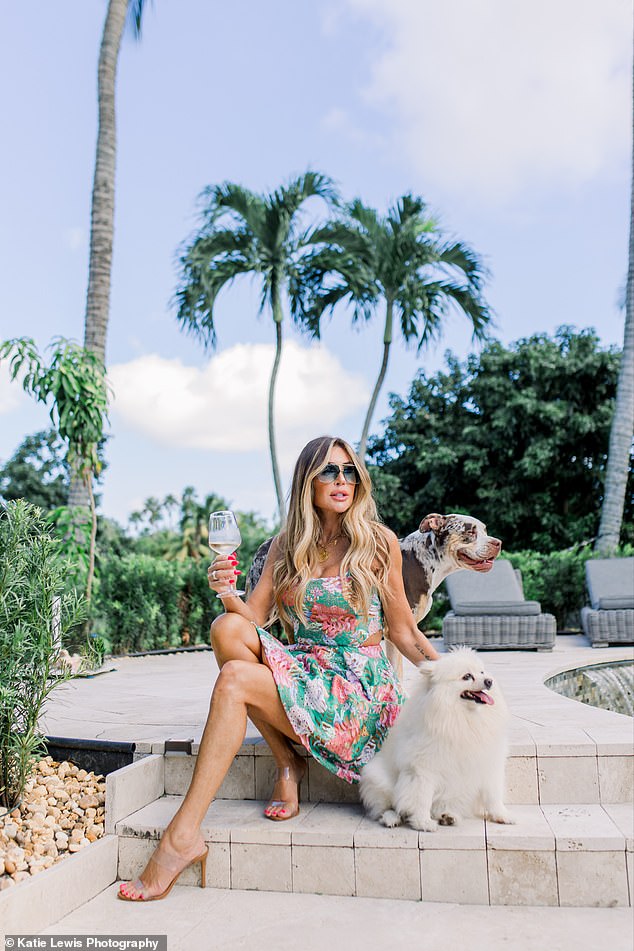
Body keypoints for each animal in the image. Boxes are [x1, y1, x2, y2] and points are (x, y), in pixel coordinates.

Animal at [358, 648, 512, 832]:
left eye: (482, 672)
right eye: (467, 676)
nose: (489, 681)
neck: (464, 718)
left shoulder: (489, 764)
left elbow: (493, 796)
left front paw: (502, 816)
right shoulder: (423, 769)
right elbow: (422, 798)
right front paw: (423, 823)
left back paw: (448, 816)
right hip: (378, 778)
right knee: (386, 808)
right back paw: (392, 818)